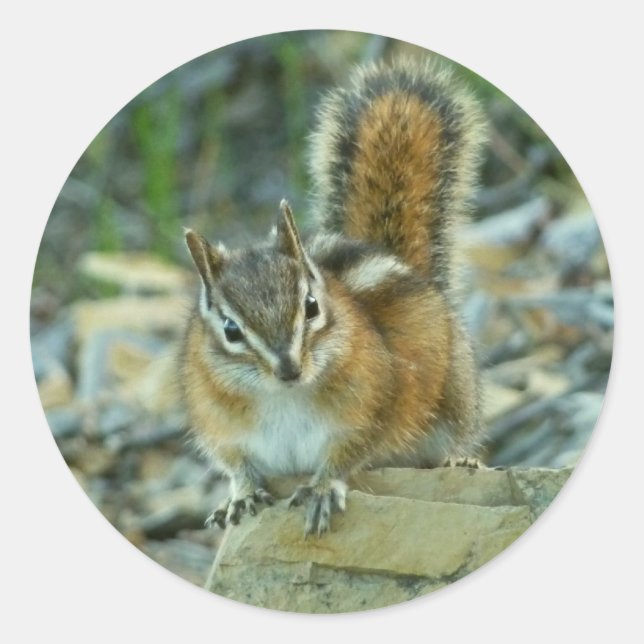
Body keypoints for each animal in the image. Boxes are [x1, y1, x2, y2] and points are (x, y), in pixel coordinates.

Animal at [180, 58, 487, 536]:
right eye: (230, 329)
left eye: (311, 307)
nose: (289, 369)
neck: (282, 397)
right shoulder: (220, 426)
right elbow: (236, 465)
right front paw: (241, 495)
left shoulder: (368, 411)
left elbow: (346, 455)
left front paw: (322, 488)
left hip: (455, 397)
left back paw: (461, 460)